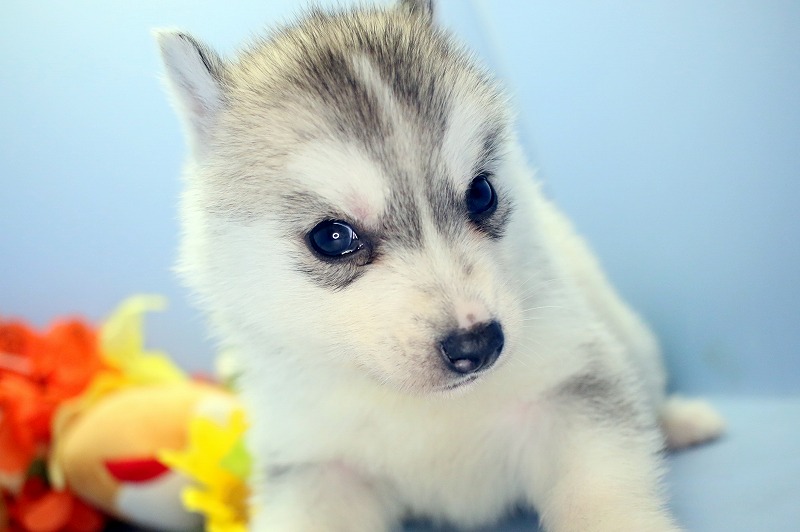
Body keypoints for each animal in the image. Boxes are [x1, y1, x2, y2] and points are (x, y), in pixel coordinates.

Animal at [155, 2, 724, 528]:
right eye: (332, 237)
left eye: (481, 193)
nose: (478, 343)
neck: (420, 404)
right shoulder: (319, 466)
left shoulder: (570, 391)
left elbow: (603, 495)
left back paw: (682, 421)